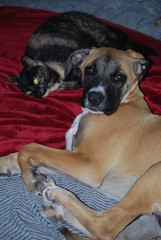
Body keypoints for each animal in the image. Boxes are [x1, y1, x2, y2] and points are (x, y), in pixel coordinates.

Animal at [0, 47, 161, 239]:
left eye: (119, 77)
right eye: (90, 70)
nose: (94, 98)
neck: (127, 101)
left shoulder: (89, 166)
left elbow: (30, 147)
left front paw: (31, 180)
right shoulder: (73, 157)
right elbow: (22, 154)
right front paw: (27, 173)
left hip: (153, 172)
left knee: (104, 226)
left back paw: (59, 195)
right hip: (150, 220)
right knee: (113, 234)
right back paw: (58, 212)